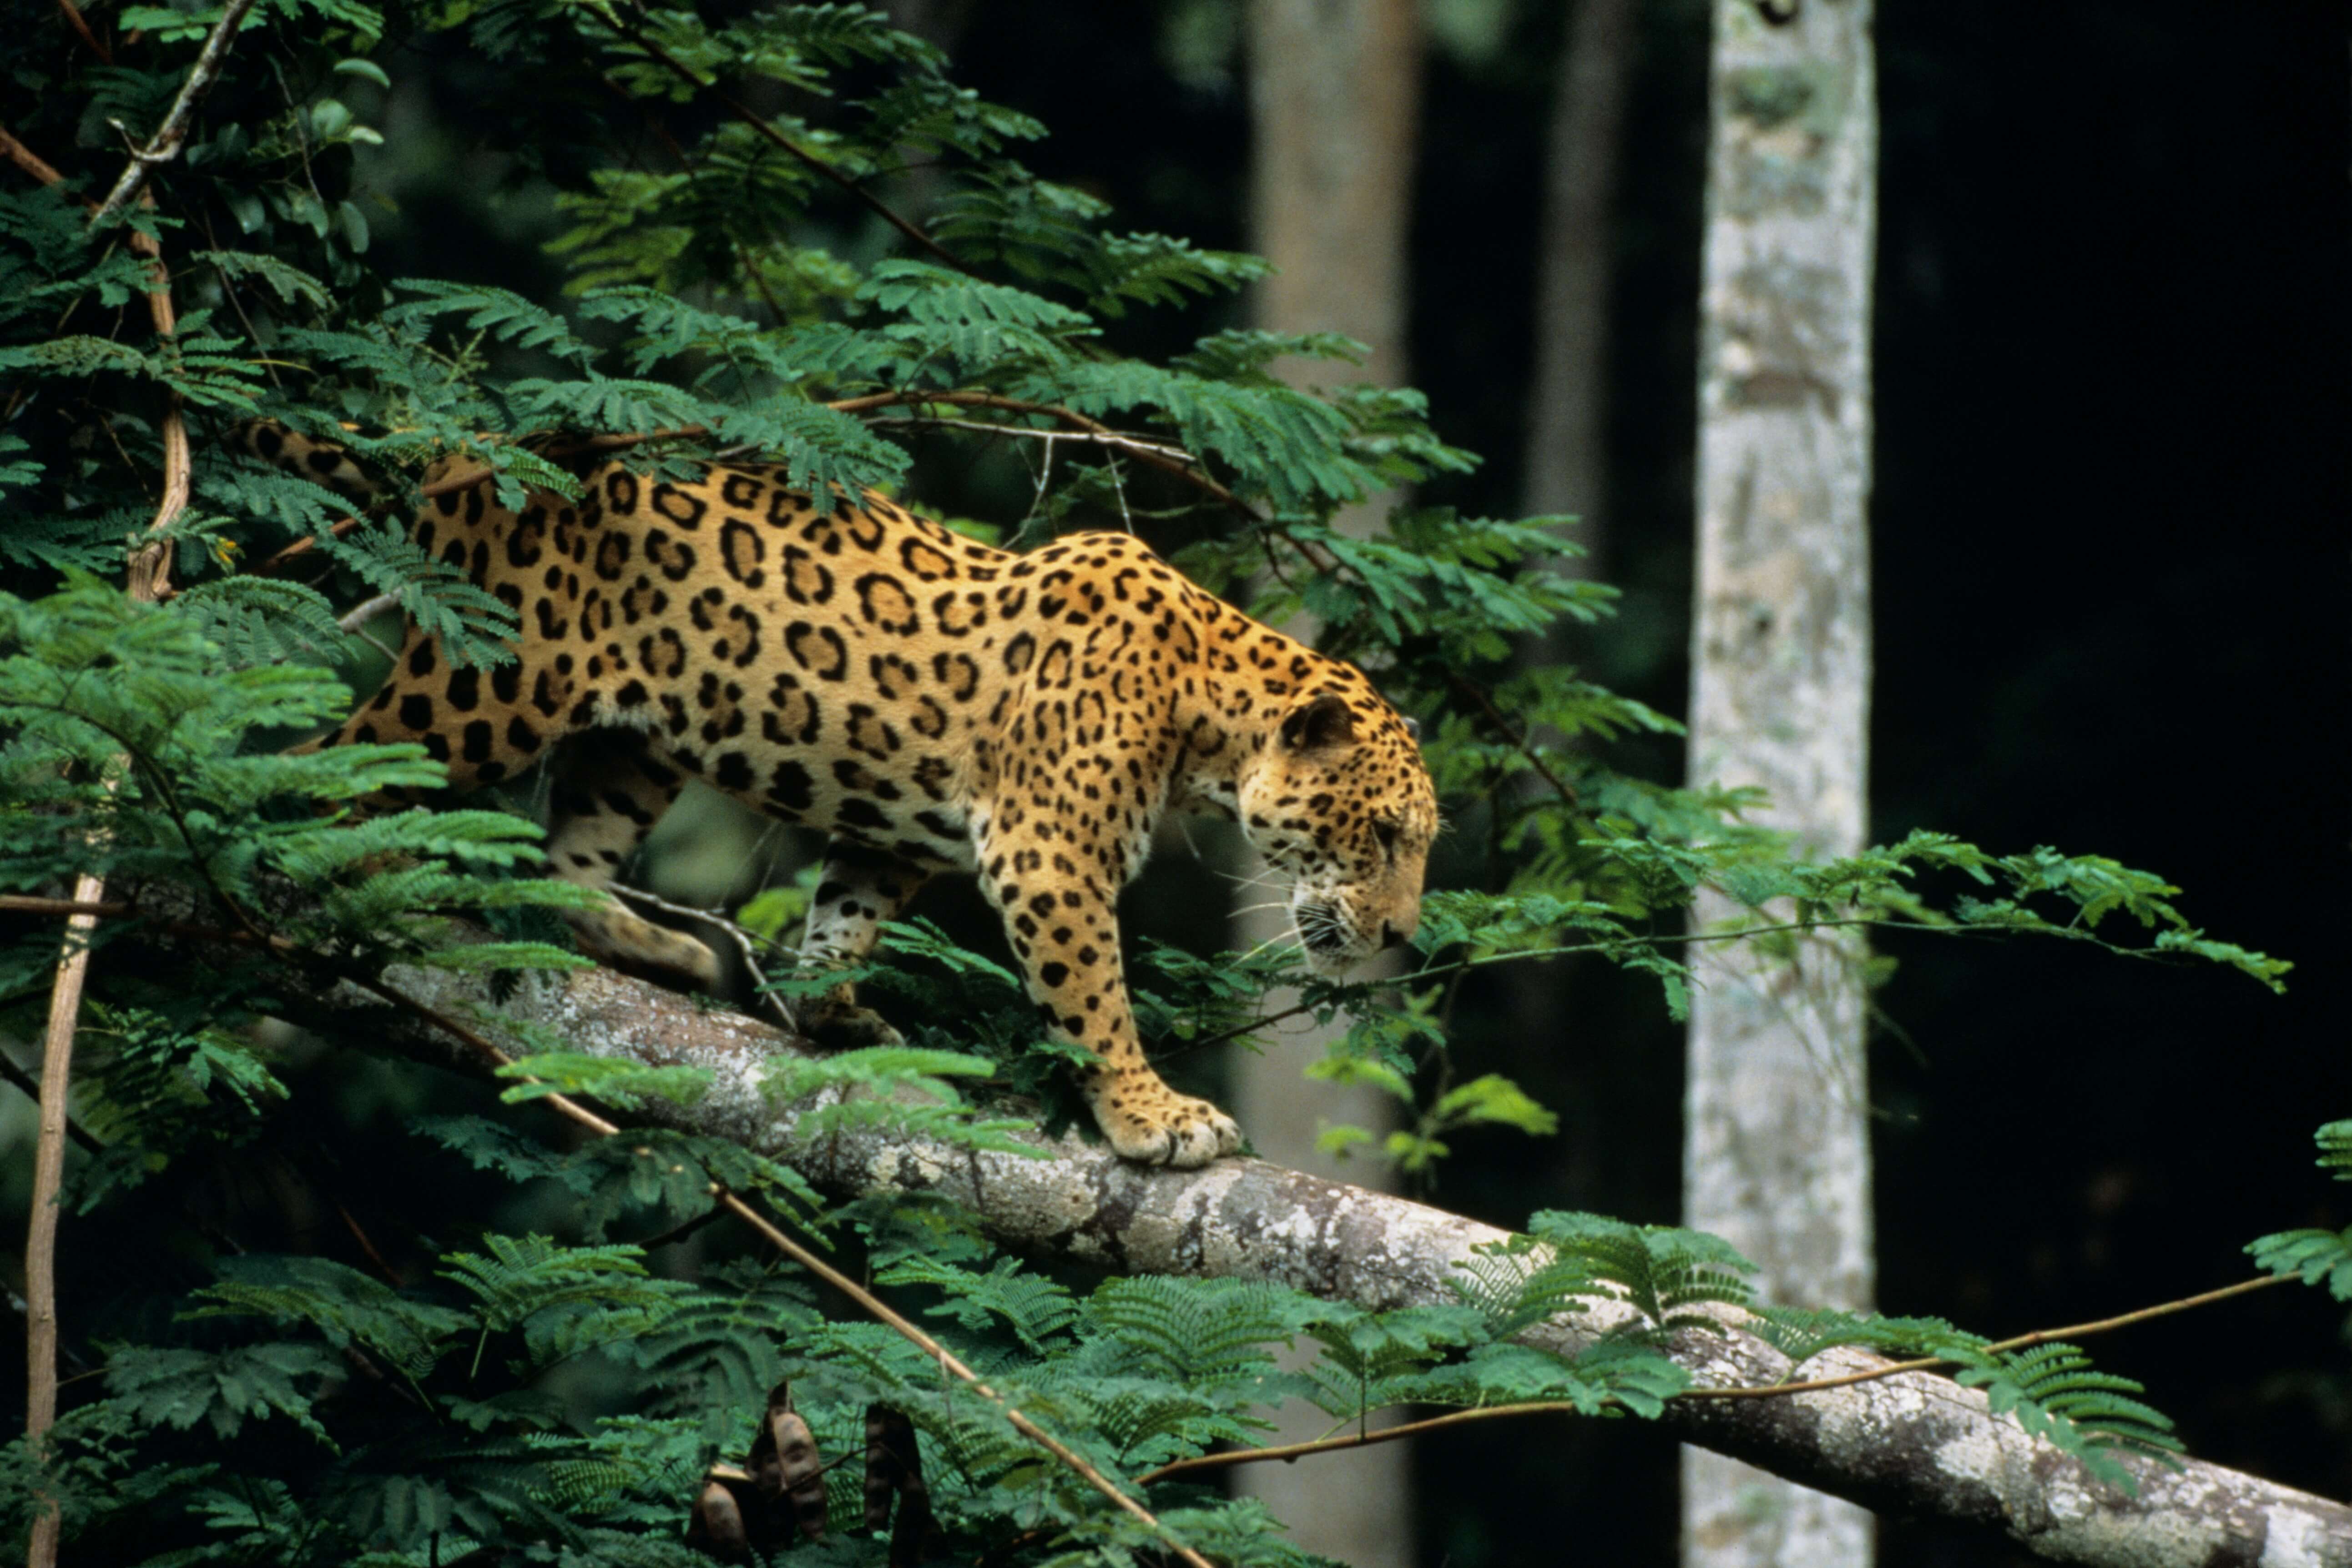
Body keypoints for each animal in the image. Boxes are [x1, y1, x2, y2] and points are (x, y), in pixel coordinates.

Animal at [250, 425, 1439, 1167]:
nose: (1399, 937)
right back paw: (343, 862)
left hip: (635, 745)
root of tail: (470, 460)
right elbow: (1095, 1000)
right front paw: (1152, 1116)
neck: (1205, 710)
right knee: (331, 759)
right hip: (490, 683)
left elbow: (845, 916)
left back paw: (656, 948)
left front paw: (830, 1008)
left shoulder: (904, 838)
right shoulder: (1048, 855)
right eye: (1383, 836)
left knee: (567, 856)